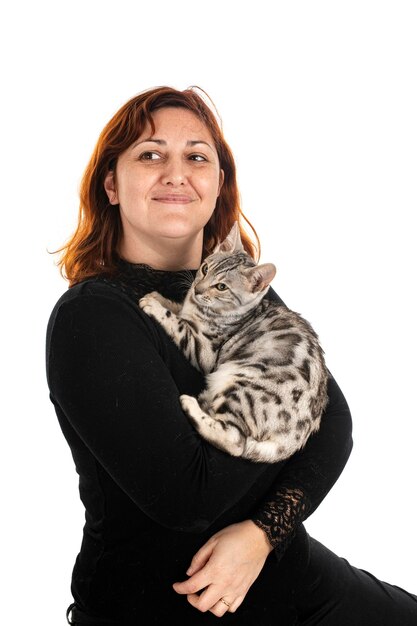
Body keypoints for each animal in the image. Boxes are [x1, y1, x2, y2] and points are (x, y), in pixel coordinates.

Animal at [140, 222, 328, 460]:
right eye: (205, 269)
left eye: (221, 287)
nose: (198, 289)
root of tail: (291, 441)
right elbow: (179, 309)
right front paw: (159, 298)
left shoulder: (204, 350)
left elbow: (178, 323)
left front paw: (154, 306)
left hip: (242, 387)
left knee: (235, 441)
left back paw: (192, 405)